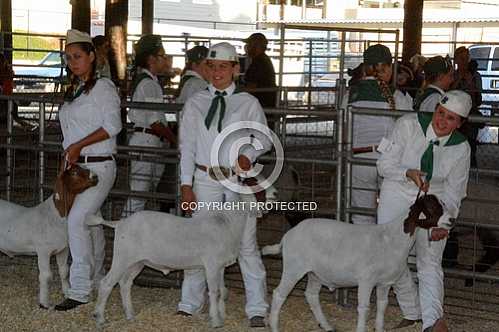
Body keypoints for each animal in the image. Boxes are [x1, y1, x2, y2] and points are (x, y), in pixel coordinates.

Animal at [0, 166, 98, 308]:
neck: (56, 215)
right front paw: (44, 303)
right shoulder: (43, 251)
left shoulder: (63, 249)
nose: (95, 176)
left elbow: (64, 271)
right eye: (74, 172)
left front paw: (67, 293)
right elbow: (46, 275)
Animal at [88, 204, 258, 328]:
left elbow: (223, 291)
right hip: (122, 257)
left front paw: (222, 317)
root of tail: (120, 223)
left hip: (137, 262)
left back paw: (130, 315)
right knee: (106, 283)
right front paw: (216, 322)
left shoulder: (220, 267)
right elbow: (215, 292)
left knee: (125, 283)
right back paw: (100, 318)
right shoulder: (211, 265)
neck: (227, 225)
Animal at [264, 195, 444, 332]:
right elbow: (364, 308)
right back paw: (274, 326)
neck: (391, 239)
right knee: (279, 294)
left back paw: (327, 326)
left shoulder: (385, 282)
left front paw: (380, 328)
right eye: (432, 208)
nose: (449, 220)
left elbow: (382, 305)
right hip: (294, 267)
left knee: (311, 295)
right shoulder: (366, 280)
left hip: (315, 273)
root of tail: (287, 236)